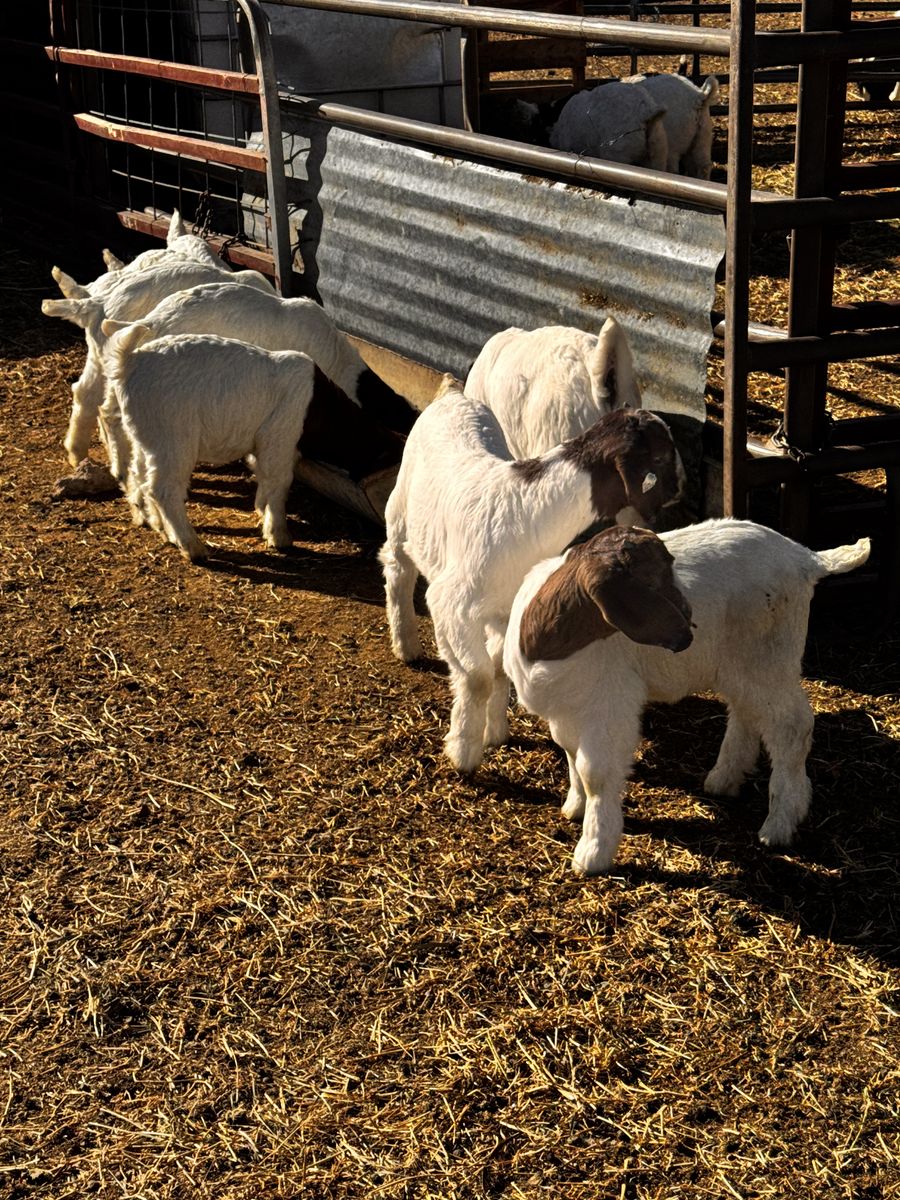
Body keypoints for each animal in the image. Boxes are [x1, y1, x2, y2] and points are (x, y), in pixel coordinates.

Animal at [379, 388, 683, 772]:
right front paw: (463, 751)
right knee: (398, 569)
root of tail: (452, 394)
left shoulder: (507, 610)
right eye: (659, 456)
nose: (679, 489)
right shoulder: (451, 603)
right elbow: (477, 676)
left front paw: (495, 732)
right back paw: (405, 644)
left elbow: (497, 669)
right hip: (401, 511)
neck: (528, 509)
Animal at [503, 519, 872, 875]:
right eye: (656, 575)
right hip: (738, 663)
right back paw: (724, 778)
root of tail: (805, 557)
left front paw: (592, 852)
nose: (688, 621)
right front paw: (574, 807)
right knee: (745, 710)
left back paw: (780, 822)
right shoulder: (566, 709)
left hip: (769, 656)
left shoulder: (609, 705)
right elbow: (568, 752)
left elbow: (594, 772)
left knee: (791, 727)